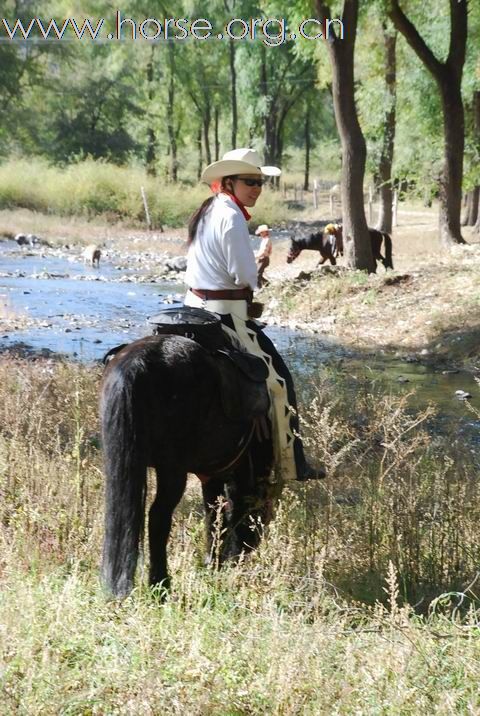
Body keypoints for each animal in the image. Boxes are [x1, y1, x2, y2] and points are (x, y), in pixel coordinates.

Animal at [101, 336, 274, 600]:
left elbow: (214, 516)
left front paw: (212, 563)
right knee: (158, 518)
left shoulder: (212, 477)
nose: (238, 562)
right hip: (172, 470)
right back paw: (160, 585)